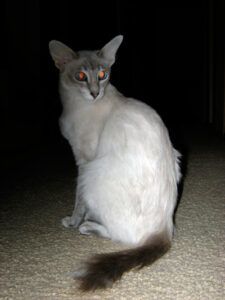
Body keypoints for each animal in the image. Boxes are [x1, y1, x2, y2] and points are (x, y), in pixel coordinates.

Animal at [48, 35, 181, 290]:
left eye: (103, 74)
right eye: (81, 76)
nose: (94, 93)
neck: (75, 104)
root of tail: (165, 229)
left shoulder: (83, 160)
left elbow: (78, 201)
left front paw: (72, 221)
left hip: (92, 175)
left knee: (122, 236)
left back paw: (87, 226)